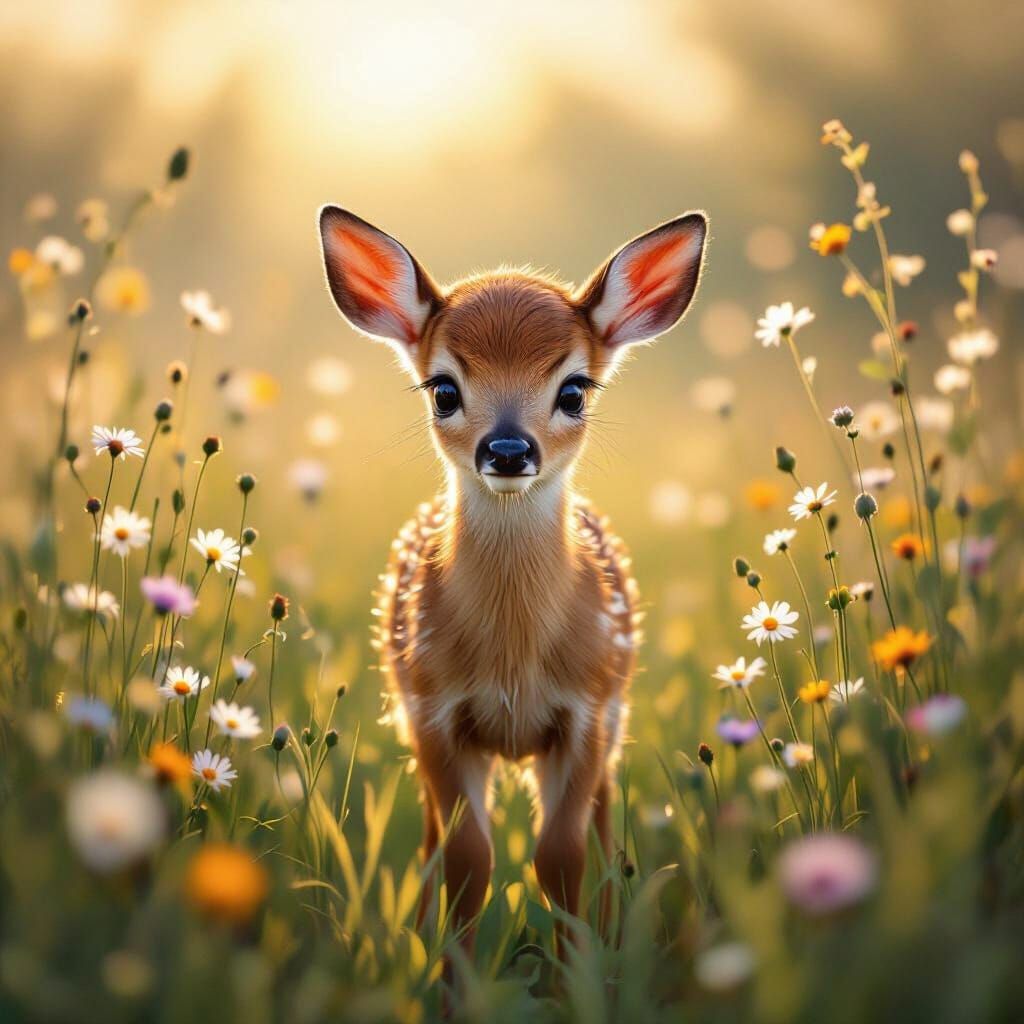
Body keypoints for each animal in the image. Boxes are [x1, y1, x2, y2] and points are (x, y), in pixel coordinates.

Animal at [317, 206, 707, 958]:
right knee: (432, 840)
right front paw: (453, 975)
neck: (513, 655)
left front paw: (578, 971)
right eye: (444, 389)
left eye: (574, 390)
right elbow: (468, 859)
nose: (506, 449)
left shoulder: (585, 712)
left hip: (615, 716)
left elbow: (562, 858)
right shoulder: (435, 712)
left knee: (605, 827)